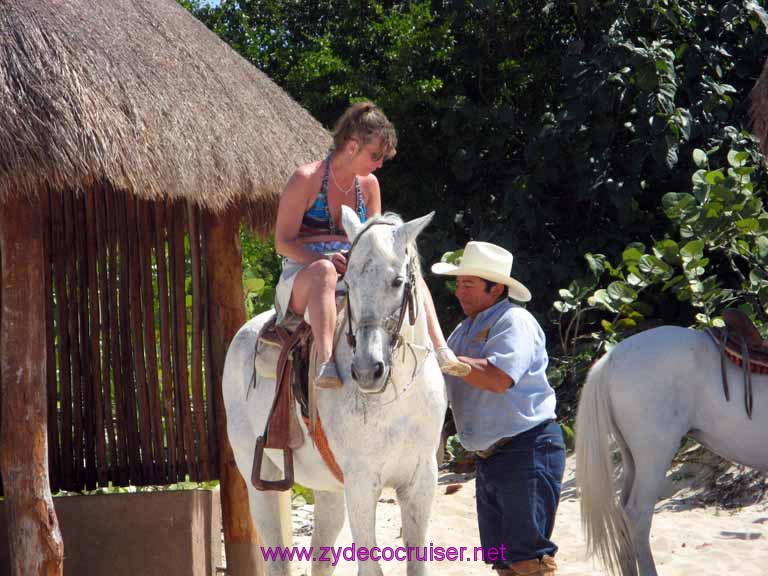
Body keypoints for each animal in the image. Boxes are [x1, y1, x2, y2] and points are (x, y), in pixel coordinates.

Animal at [222, 208, 448, 576]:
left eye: (397, 282)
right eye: (350, 283)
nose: (367, 370)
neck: (397, 400)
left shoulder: (421, 481)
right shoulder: (361, 482)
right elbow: (371, 568)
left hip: (328, 490)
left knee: (320, 558)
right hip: (260, 476)